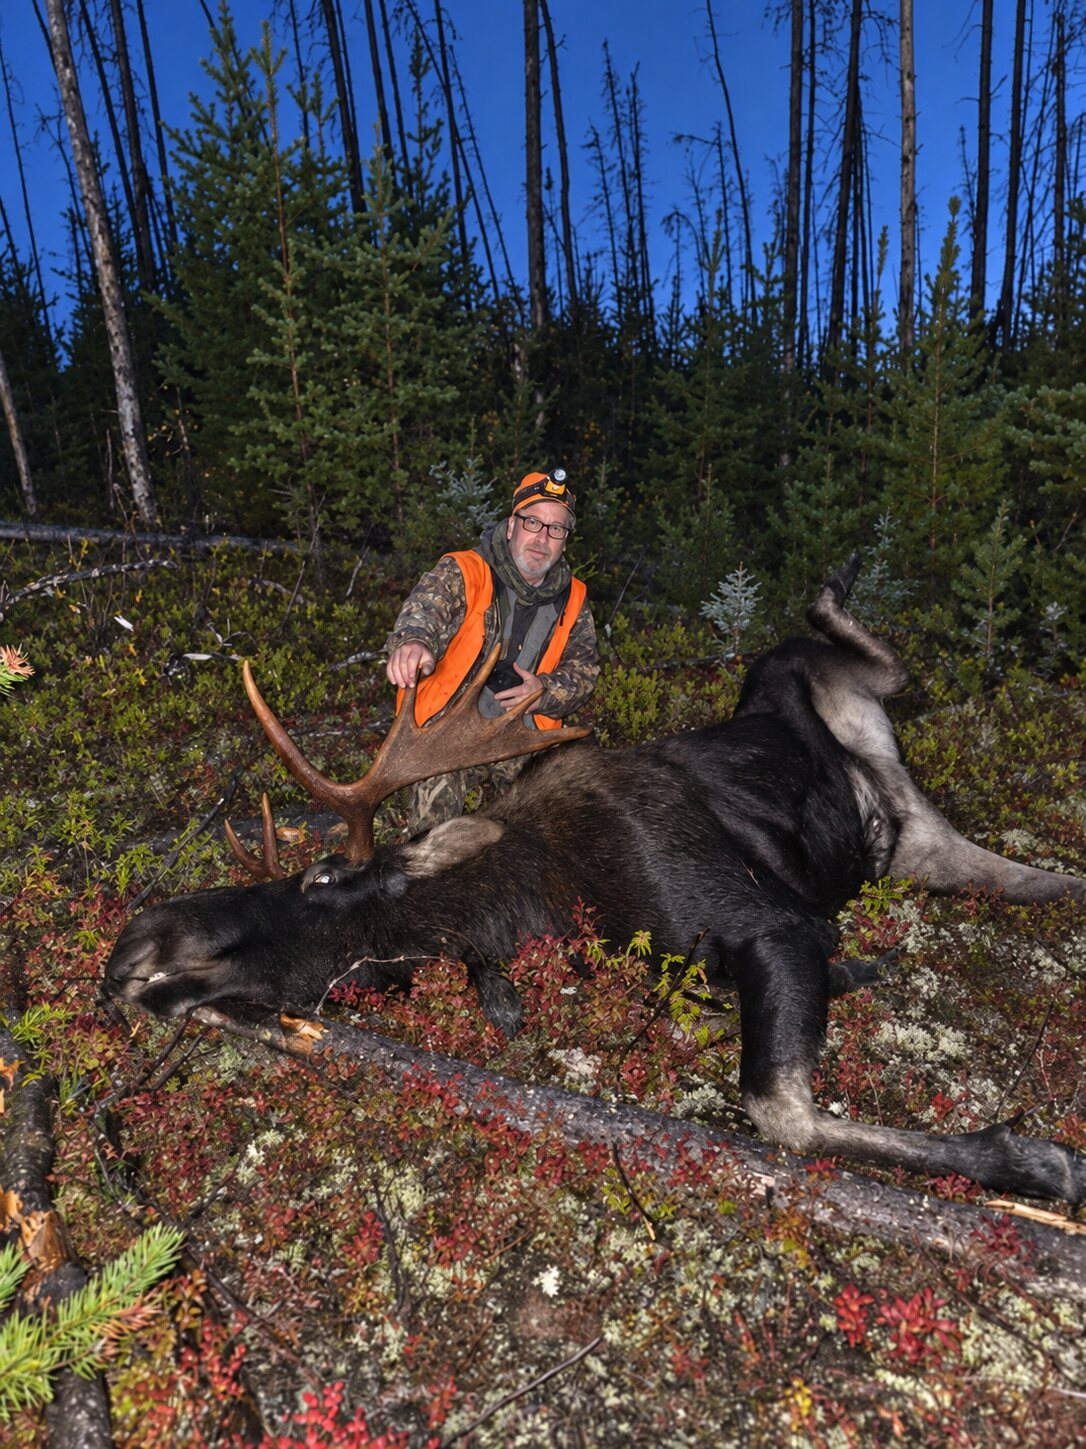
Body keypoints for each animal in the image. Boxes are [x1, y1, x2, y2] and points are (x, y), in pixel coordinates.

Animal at [105, 558, 1086, 1205]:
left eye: (320, 875)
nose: (128, 949)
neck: (539, 895)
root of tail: (904, 800)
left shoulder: (772, 922)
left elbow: (779, 1110)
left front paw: (1036, 1160)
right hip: (927, 850)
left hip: (788, 670)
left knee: (870, 650)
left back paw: (835, 589)